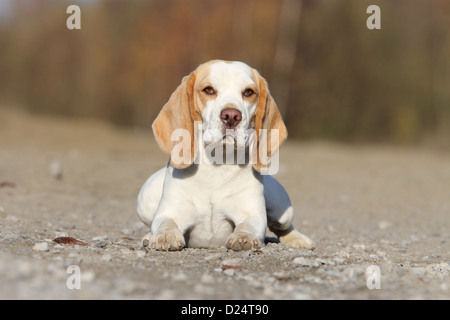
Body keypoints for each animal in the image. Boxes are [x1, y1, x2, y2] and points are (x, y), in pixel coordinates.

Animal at [135, 59, 314, 250]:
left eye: (248, 92)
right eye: (209, 90)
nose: (231, 116)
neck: (217, 165)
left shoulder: (253, 215)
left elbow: (247, 226)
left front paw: (243, 237)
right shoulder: (170, 212)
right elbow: (166, 224)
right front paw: (165, 236)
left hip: (281, 205)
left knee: (283, 227)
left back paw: (299, 239)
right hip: (145, 198)